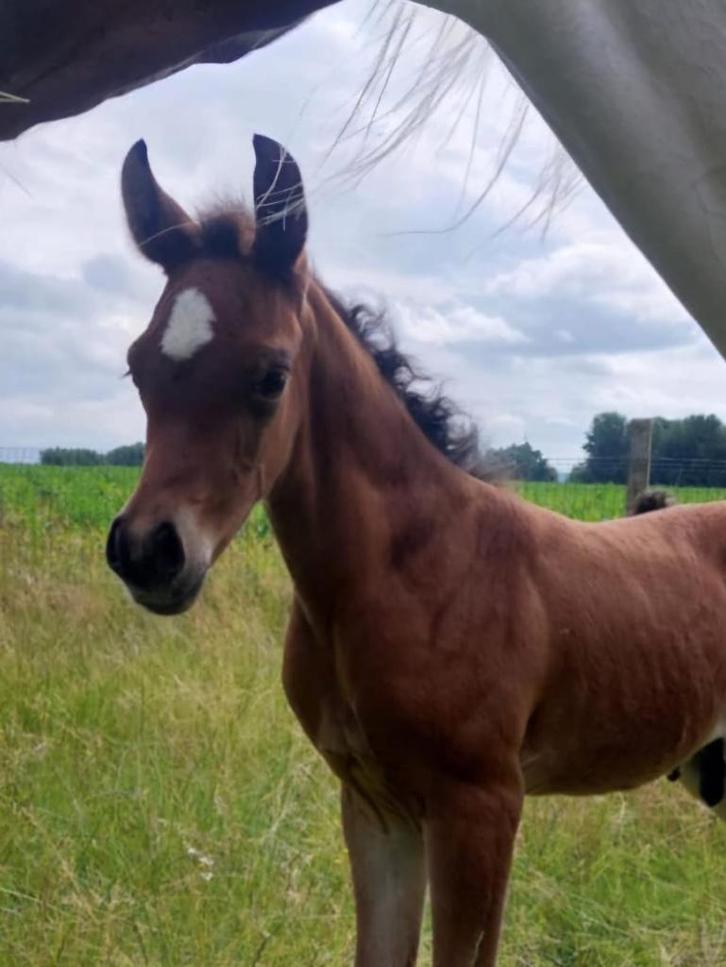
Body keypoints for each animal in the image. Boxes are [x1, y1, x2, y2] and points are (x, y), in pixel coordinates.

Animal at [107, 134, 726, 966]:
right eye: (138, 364)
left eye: (272, 374)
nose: (148, 551)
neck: (402, 571)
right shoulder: (375, 804)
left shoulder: (480, 806)